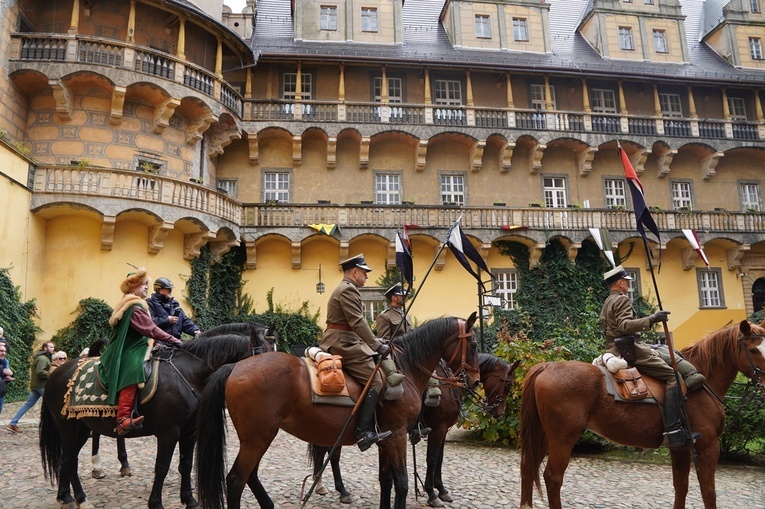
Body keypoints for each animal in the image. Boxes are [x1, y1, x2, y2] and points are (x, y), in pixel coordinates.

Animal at [195, 312, 478, 508]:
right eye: (474, 345)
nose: (474, 380)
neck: (406, 368)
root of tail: (236, 366)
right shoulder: (401, 435)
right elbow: (405, 482)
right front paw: (434, 493)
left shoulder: (386, 439)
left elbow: (386, 481)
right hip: (257, 437)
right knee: (236, 480)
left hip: (261, 437)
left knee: (250, 475)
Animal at [308, 352, 520, 506]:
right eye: (508, 383)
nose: (499, 412)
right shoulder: (438, 429)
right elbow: (432, 459)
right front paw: (432, 493)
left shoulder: (442, 430)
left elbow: (439, 459)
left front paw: (441, 490)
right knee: (332, 456)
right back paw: (340, 490)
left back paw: (323, 486)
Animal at [516, 320, 764, 506]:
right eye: (753, 349)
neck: (702, 380)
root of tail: (547, 366)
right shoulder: (708, 446)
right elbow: (708, 492)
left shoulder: (680, 448)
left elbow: (681, 487)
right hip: (562, 438)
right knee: (552, 477)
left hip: (543, 435)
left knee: (528, 466)